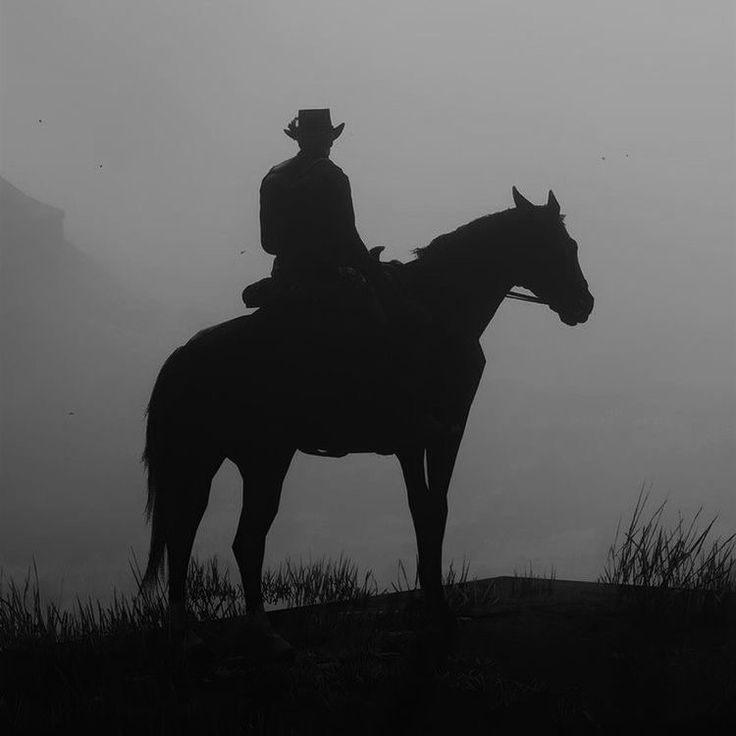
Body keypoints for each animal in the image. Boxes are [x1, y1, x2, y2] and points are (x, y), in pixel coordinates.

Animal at [141, 187, 596, 652]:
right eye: (562, 246)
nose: (584, 304)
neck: (440, 309)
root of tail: (183, 356)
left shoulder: (415, 443)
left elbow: (423, 511)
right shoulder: (440, 433)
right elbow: (434, 509)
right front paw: (441, 615)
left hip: (226, 460)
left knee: (199, 536)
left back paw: (203, 632)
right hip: (246, 460)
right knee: (227, 537)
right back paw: (249, 633)